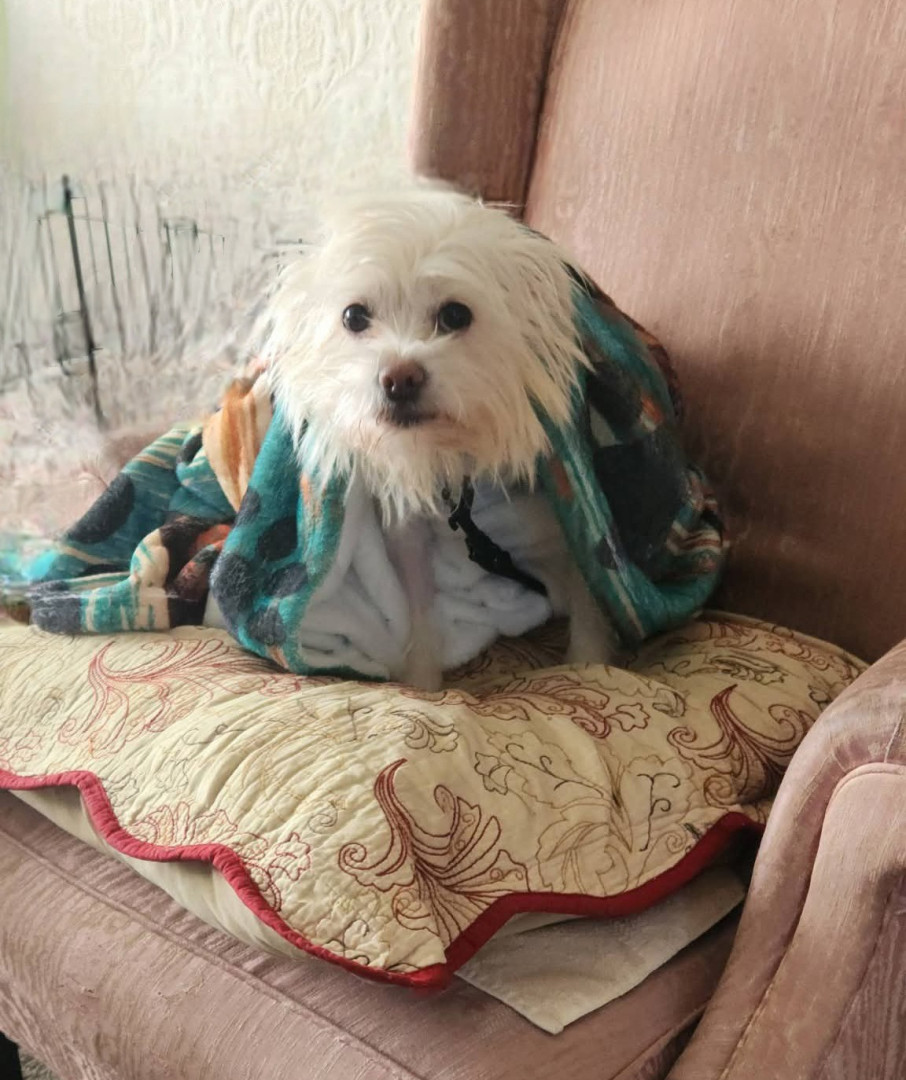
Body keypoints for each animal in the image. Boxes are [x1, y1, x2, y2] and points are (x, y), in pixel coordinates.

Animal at [260, 184, 616, 689]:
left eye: (455, 314)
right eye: (353, 316)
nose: (399, 379)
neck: (461, 467)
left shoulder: (577, 533)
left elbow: (591, 601)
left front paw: (592, 666)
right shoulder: (410, 540)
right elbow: (419, 611)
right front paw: (422, 682)